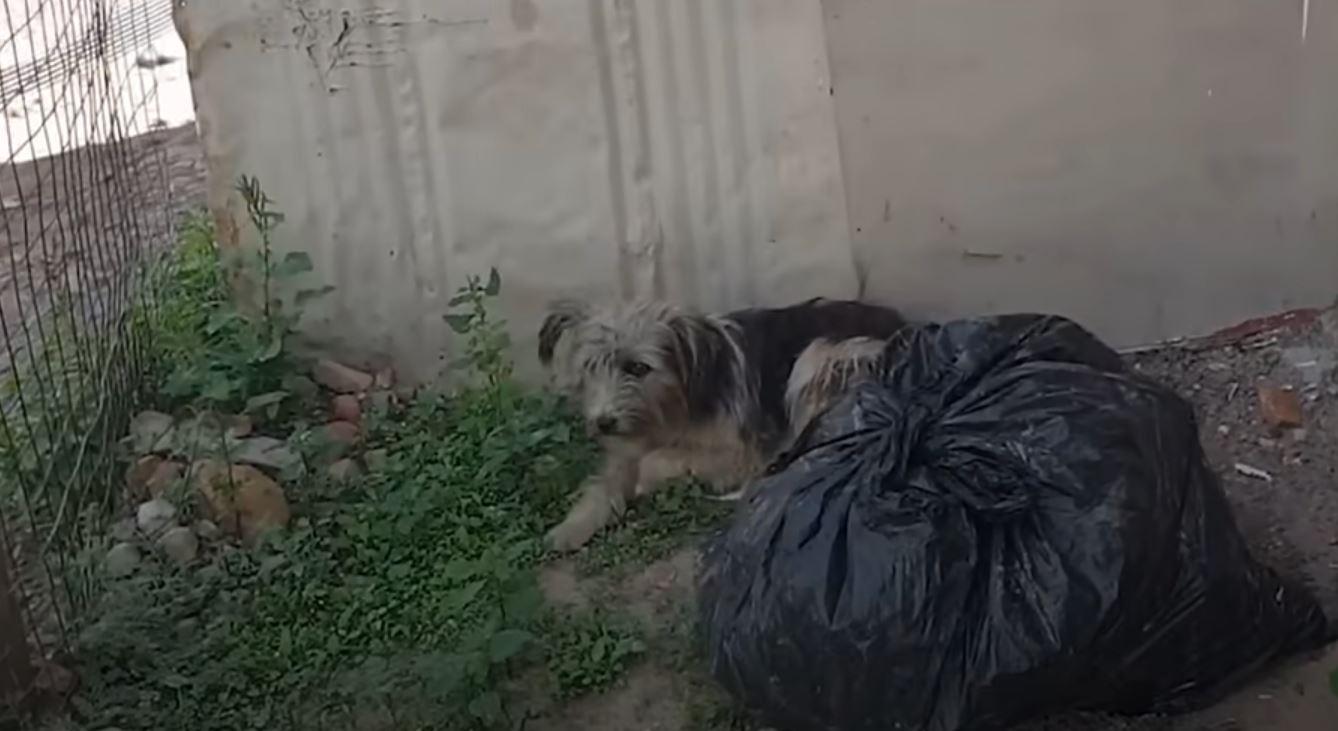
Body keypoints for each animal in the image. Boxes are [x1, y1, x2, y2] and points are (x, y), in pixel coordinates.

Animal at [537, 293, 904, 548]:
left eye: (638, 368)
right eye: (590, 367)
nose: (603, 423)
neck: (677, 403)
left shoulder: (739, 455)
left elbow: (654, 461)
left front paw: (644, 480)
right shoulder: (628, 445)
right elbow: (608, 480)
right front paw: (572, 526)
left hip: (819, 357)